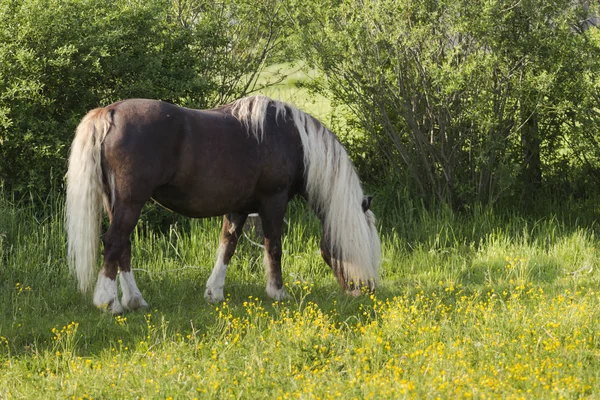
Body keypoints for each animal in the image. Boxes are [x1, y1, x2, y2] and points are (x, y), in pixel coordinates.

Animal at [65, 95, 382, 314]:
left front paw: (214, 292)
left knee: (123, 247)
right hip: (131, 202)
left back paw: (134, 300)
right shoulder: (273, 201)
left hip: (117, 203)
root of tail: (110, 112)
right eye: (363, 244)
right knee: (114, 242)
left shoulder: (239, 207)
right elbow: (274, 246)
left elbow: (227, 246)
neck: (293, 140)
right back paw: (109, 303)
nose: (367, 290)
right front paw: (277, 292)